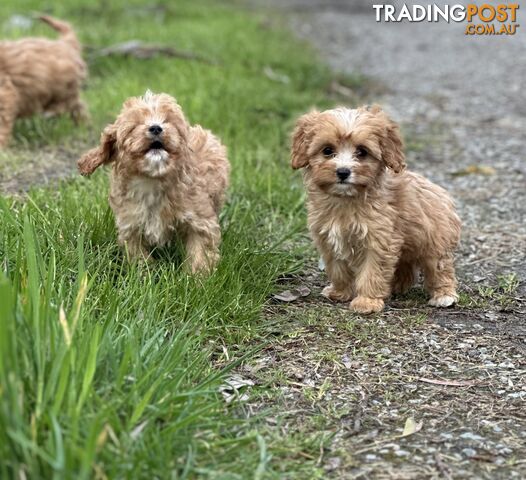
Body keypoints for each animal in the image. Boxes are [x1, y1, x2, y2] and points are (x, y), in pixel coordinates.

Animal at [0, 15, 87, 146]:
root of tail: (64, 44)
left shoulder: (5, 93)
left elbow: (2, 122)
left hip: (64, 89)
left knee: (69, 105)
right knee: (78, 107)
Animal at [77, 90, 230, 274]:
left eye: (168, 121)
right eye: (134, 126)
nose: (156, 127)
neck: (152, 180)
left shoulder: (200, 220)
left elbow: (200, 251)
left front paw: (197, 277)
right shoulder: (130, 224)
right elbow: (136, 252)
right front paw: (145, 272)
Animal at [292, 106, 462, 316]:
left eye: (362, 152)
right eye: (327, 150)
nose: (343, 171)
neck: (346, 200)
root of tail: (442, 193)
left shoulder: (379, 240)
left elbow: (372, 272)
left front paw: (367, 301)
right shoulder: (328, 239)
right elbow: (337, 269)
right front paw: (339, 292)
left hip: (435, 241)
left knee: (439, 268)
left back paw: (444, 295)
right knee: (405, 265)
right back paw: (397, 286)